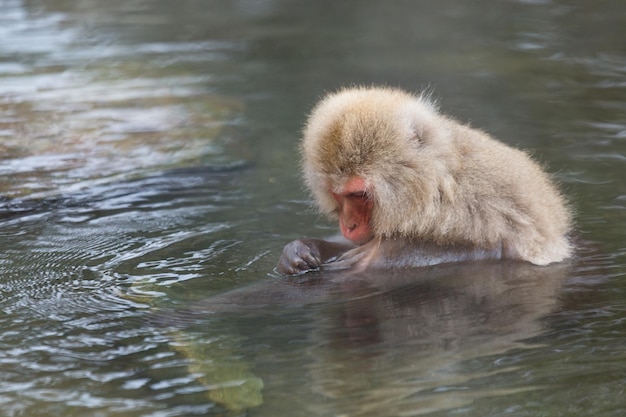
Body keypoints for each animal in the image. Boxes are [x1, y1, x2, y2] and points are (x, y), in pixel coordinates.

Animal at [278, 86, 572, 274]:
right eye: (338, 195)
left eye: (358, 195)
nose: (348, 225)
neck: (435, 186)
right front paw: (300, 249)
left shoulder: (483, 201)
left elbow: (495, 248)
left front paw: (381, 255)